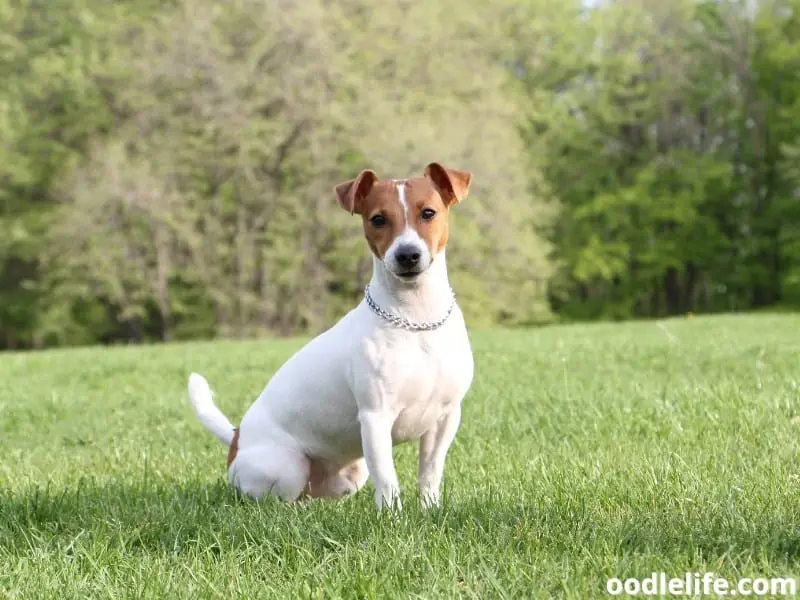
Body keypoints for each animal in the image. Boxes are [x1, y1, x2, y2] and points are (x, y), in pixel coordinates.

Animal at [188, 162, 476, 508]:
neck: (415, 319)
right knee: (277, 500)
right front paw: (392, 516)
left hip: (351, 474)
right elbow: (387, 479)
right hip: (287, 467)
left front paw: (429, 511)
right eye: (377, 219)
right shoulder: (375, 418)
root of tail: (236, 438)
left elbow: (430, 475)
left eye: (429, 213)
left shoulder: (445, 419)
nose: (407, 255)